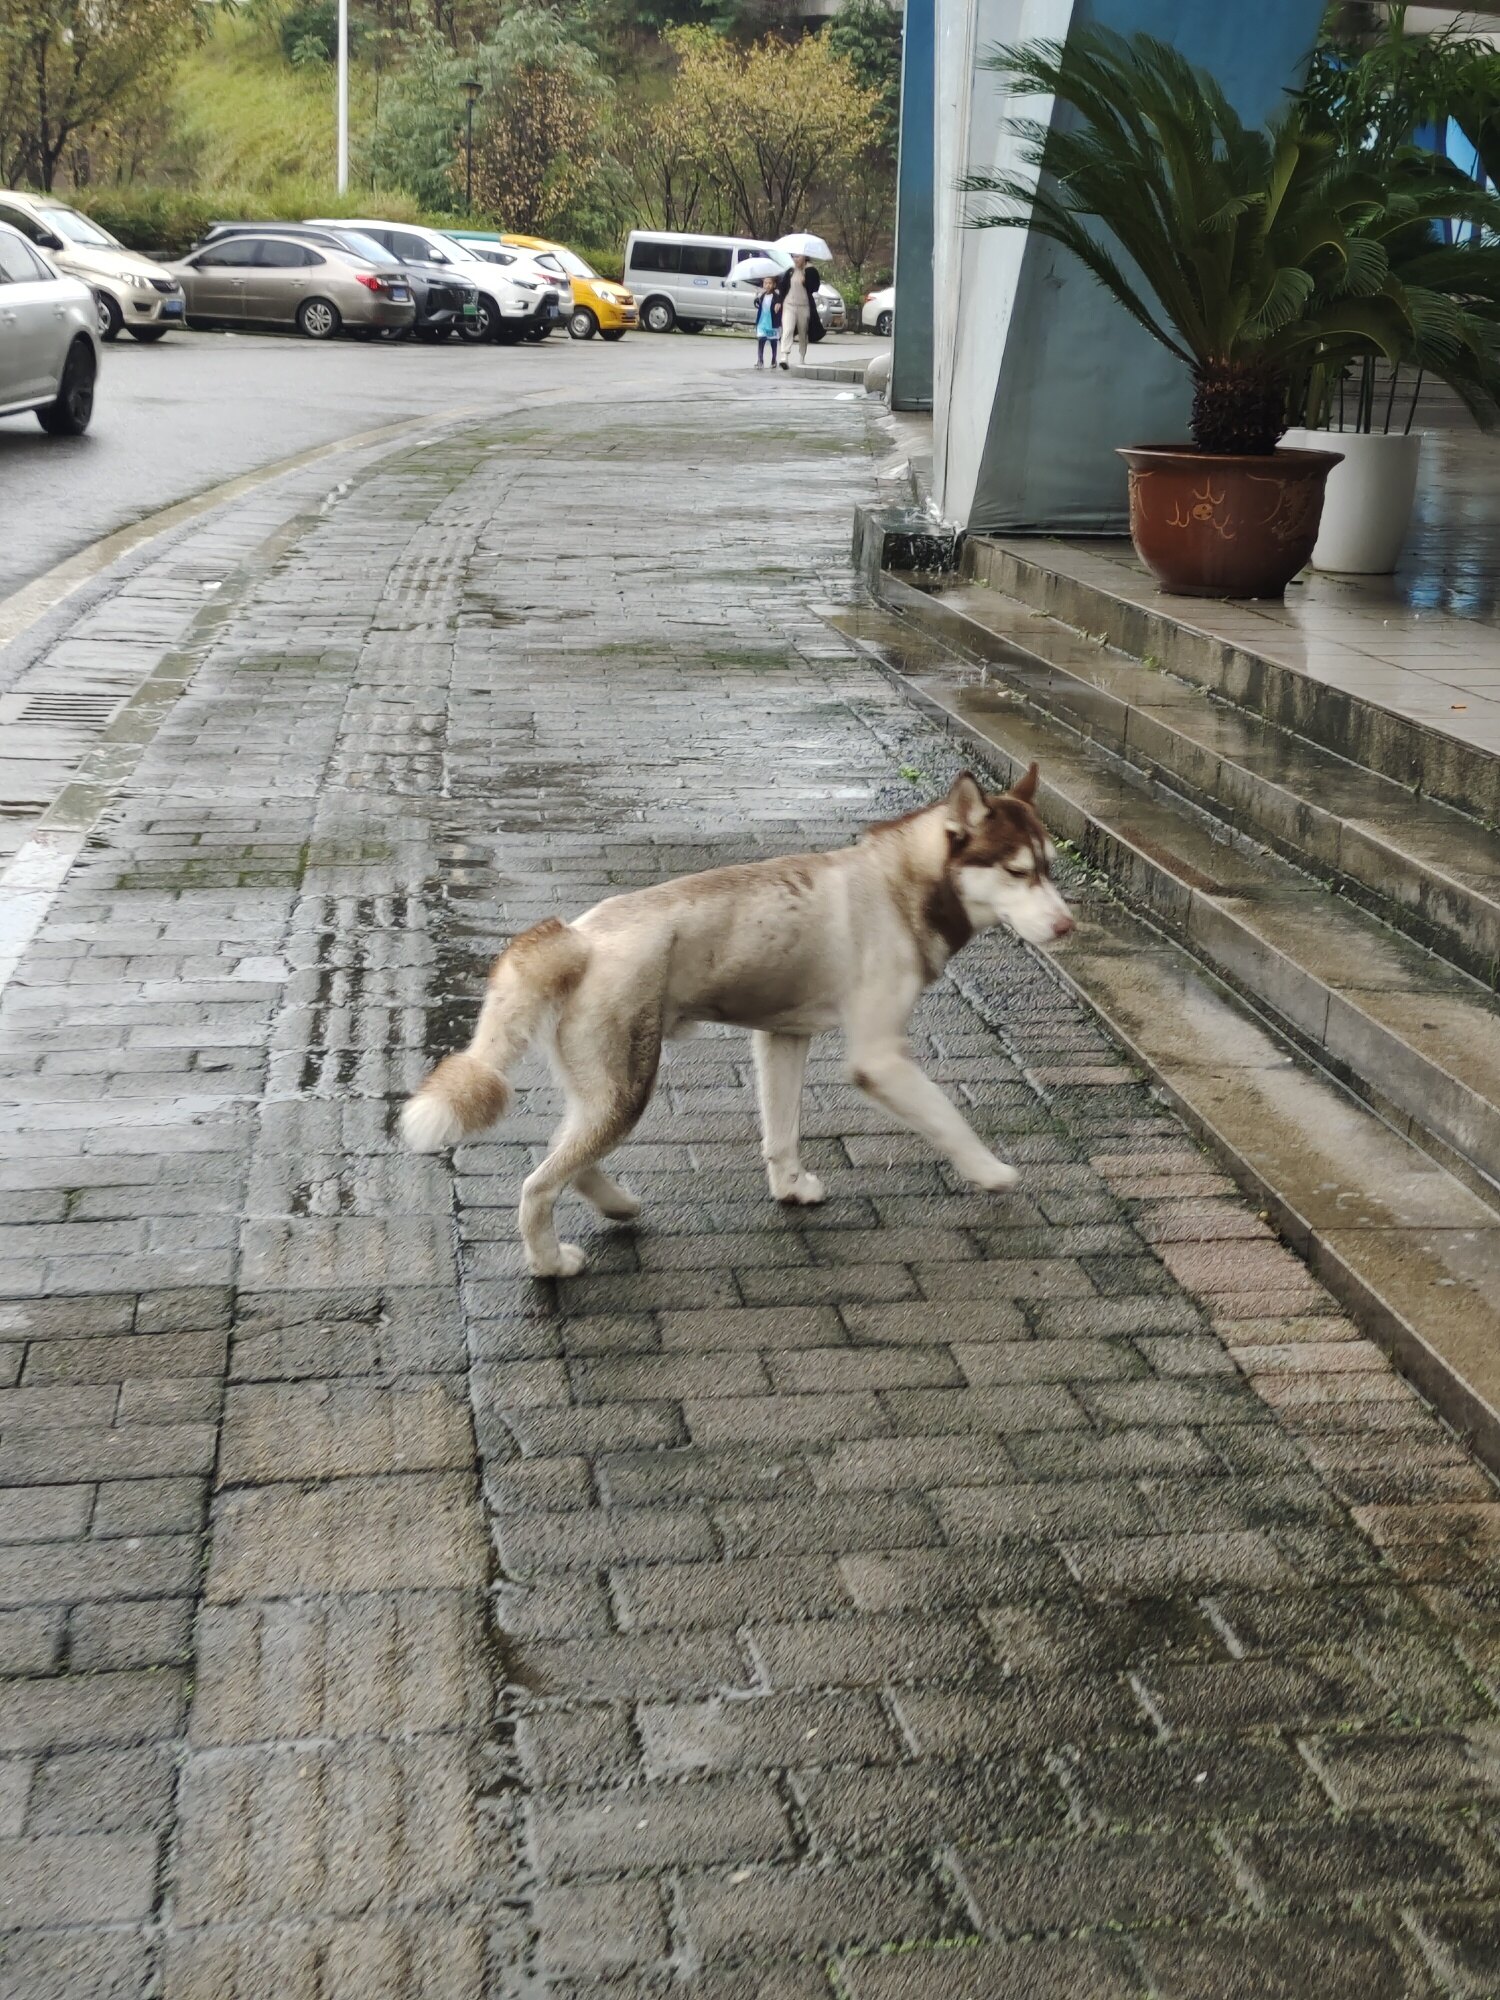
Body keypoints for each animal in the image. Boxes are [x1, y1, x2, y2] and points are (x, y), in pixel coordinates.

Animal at [401, 766, 1074, 1277]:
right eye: (1017, 871)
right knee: (538, 1184)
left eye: (1050, 868)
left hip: (605, 1089)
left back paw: (617, 1204)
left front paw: (790, 1188)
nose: (1068, 926)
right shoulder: (880, 1060)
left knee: (570, 1154)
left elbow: (782, 1133)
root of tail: (577, 936)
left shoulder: (782, 1037)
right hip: (627, 1088)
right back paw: (549, 1263)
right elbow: (950, 1120)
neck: (898, 886)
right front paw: (990, 1172)